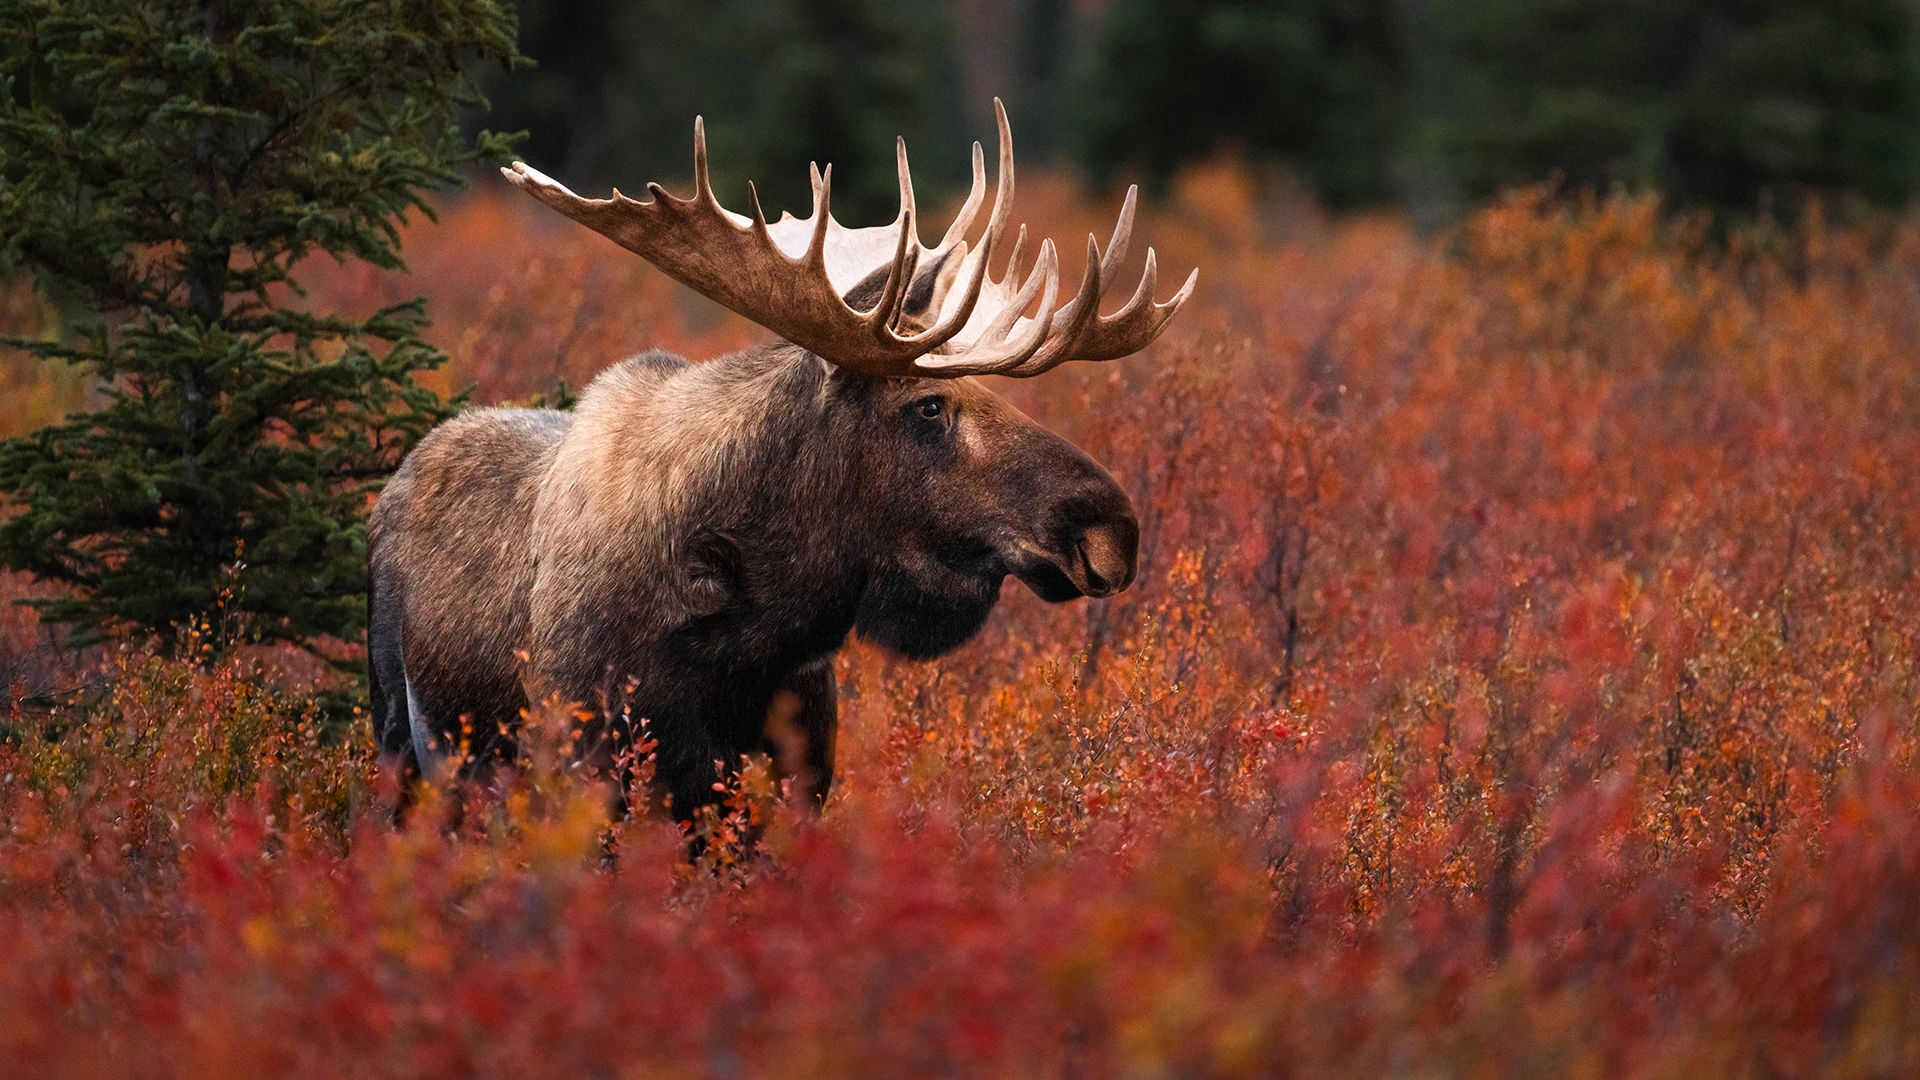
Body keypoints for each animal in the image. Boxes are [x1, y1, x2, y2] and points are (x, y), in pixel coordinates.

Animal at [367, 102, 1195, 818]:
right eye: (929, 406)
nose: (1112, 527)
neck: (750, 633)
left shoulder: (797, 782)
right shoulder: (589, 770)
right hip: (399, 744)